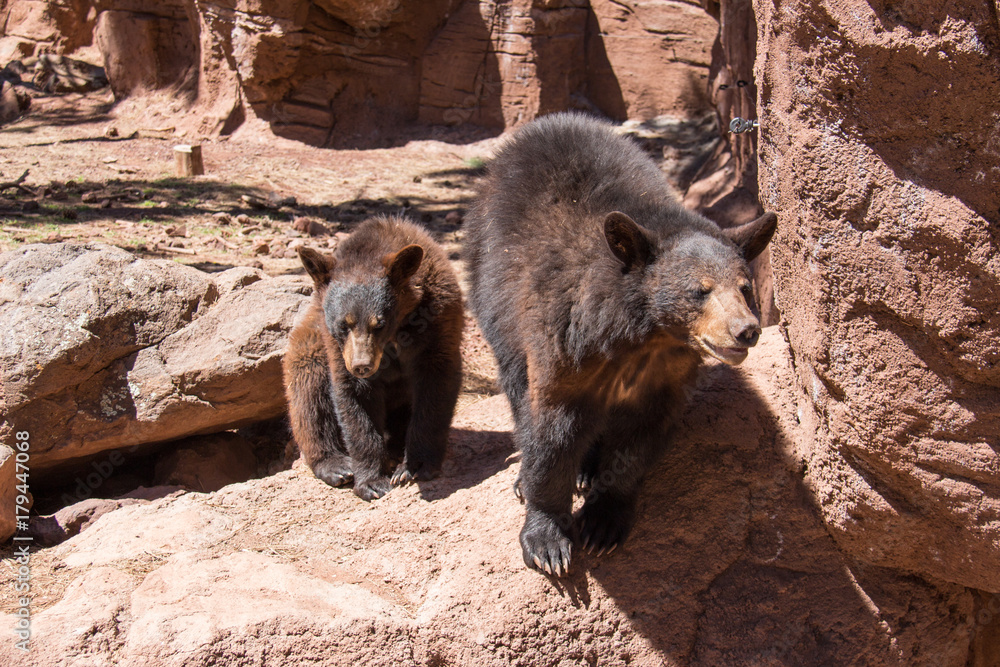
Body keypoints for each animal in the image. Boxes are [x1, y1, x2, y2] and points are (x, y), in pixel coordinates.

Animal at [283, 215, 464, 501]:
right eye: (343, 325)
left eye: (379, 324)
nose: (362, 366)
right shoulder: (336, 348)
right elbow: (356, 400)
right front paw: (372, 481)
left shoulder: (438, 318)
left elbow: (435, 385)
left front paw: (415, 467)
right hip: (309, 345)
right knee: (310, 394)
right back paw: (336, 465)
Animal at [464, 112, 777, 576]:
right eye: (699, 290)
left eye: (744, 287)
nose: (746, 330)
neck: (641, 337)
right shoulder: (565, 338)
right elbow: (552, 429)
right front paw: (546, 538)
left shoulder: (666, 375)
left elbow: (639, 437)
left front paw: (603, 520)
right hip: (493, 290)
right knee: (517, 383)